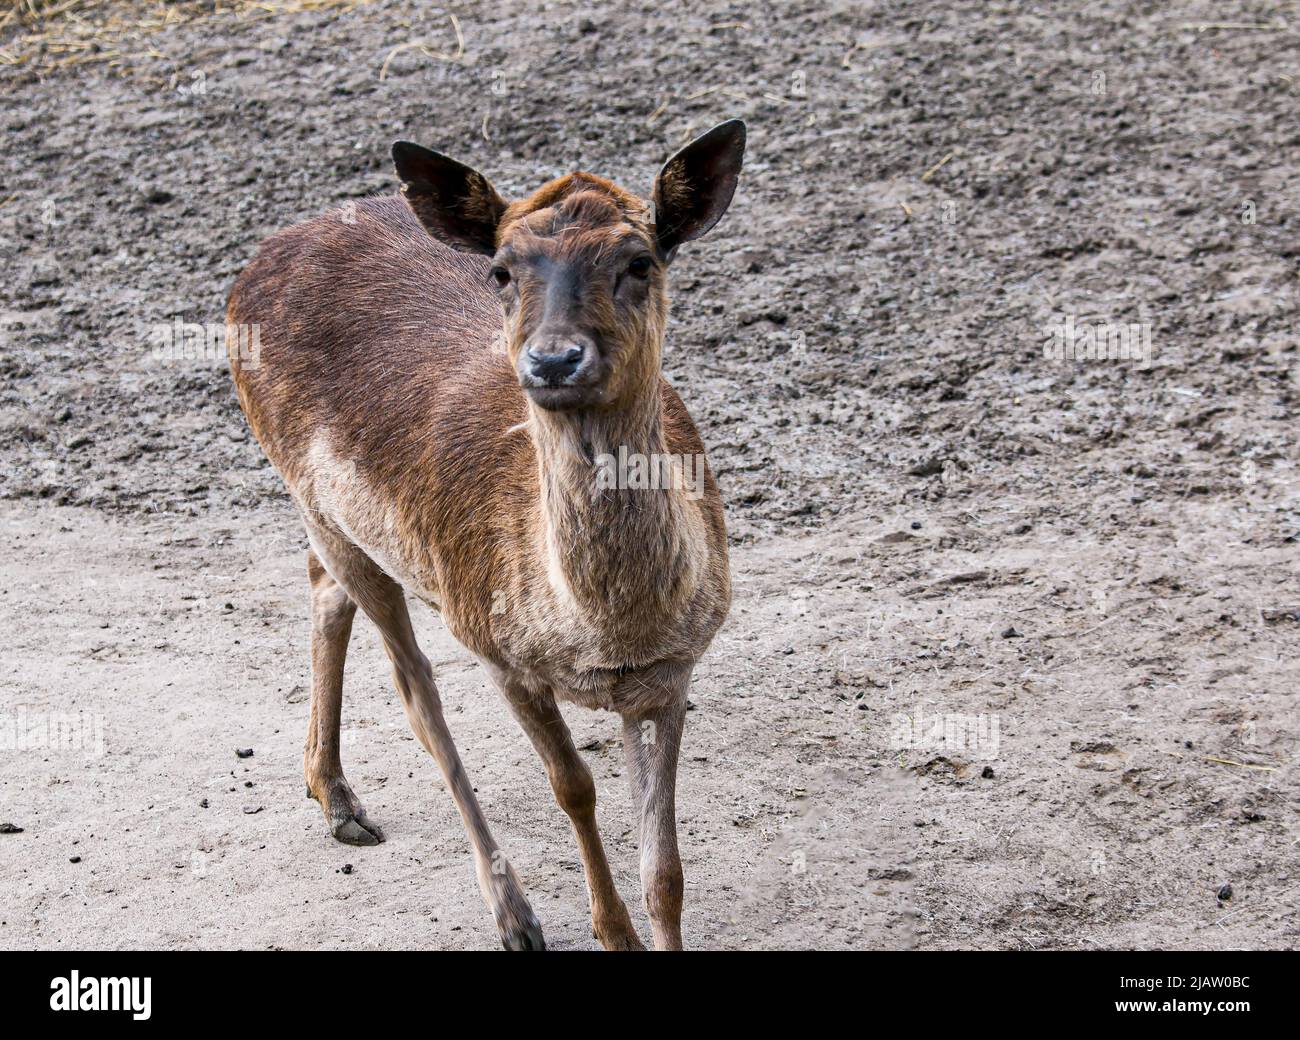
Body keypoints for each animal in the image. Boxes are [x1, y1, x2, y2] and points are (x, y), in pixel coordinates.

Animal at [226, 120, 746, 951]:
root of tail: (269, 249)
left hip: (337, 522)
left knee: (321, 586)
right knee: (415, 689)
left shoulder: (675, 666)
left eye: (641, 260)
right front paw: (611, 932)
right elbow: (573, 788)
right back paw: (511, 913)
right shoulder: (499, 647)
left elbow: (665, 870)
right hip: (310, 494)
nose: (554, 359)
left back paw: (334, 797)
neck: (604, 632)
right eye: (501, 270)